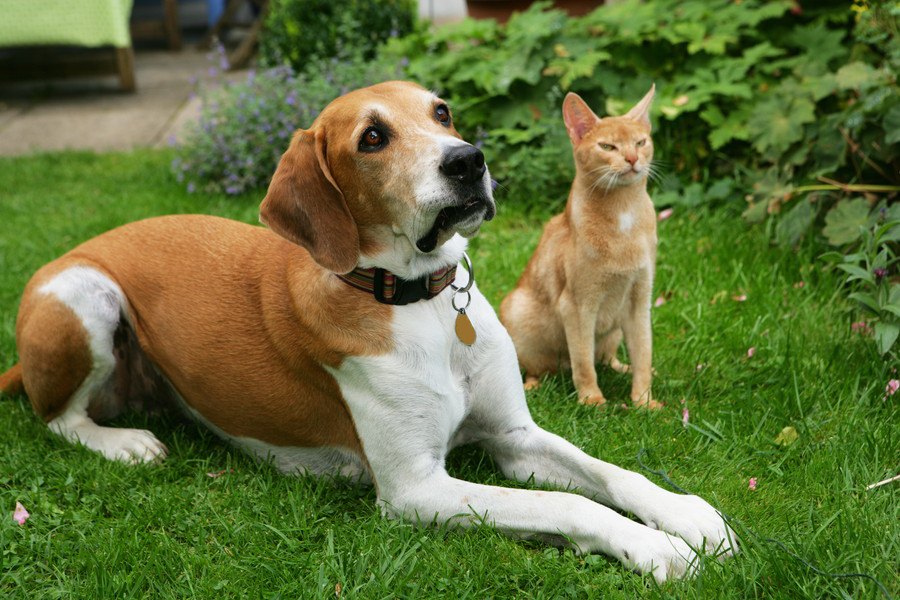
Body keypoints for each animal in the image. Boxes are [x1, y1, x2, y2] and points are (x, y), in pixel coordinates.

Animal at [500, 84, 660, 410]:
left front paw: (643, 401)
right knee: (541, 367)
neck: (624, 212)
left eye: (641, 142)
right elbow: (583, 361)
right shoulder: (576, 305)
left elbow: (643, 350)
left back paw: (622, 368)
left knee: (606, 357)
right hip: (516, 309)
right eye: (608, 147)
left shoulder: (640, 299)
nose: (633, 158)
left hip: (614, 330)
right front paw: (592, 400)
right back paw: (534, 385)